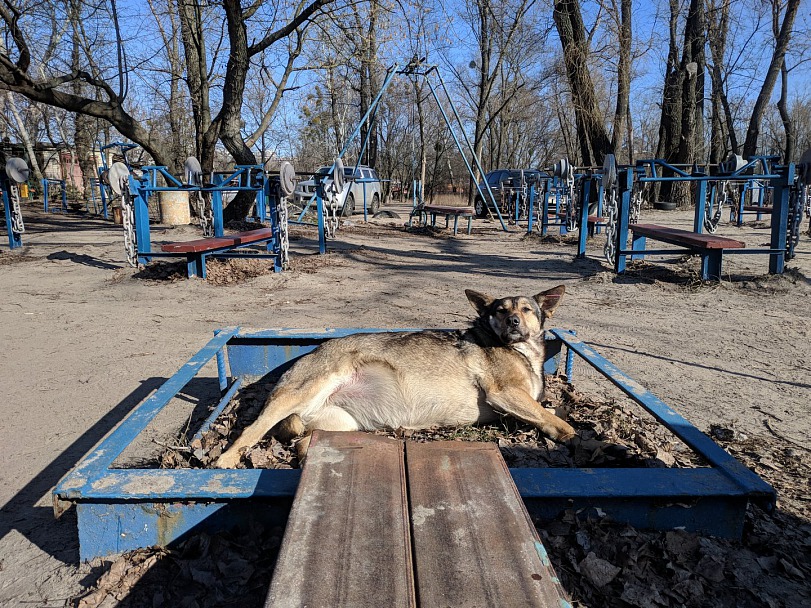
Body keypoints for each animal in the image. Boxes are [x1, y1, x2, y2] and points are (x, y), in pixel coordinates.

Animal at [216, 282, 584, 468]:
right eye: (501, 310)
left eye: (526, 309)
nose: (513, 322)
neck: (520, 350)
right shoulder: (504, 393)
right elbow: (553, 418)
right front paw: (580, 437)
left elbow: (545, 412)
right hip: (300, 394)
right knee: (250, 430)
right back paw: (226, 459)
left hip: (340, 425)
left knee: (303, 445)